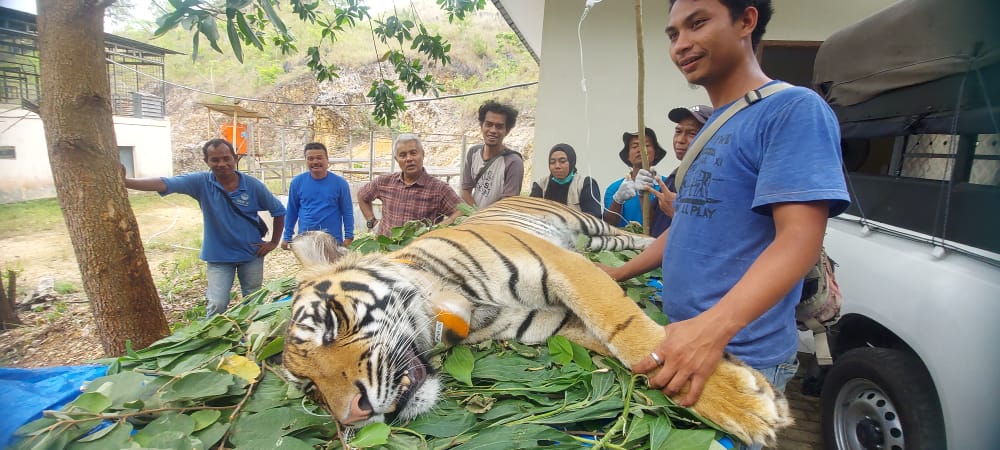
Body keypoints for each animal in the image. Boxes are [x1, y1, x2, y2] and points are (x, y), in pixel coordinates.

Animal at [286, 197, 792, 446]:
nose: (354, 414)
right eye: (310, 389)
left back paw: (653, 241)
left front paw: (745, 406)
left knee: (625, 234)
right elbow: (621, 348)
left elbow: (627, 332)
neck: (464, 311)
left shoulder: (563, 267)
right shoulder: (552, 323)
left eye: (331, 324)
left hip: (586, 225)